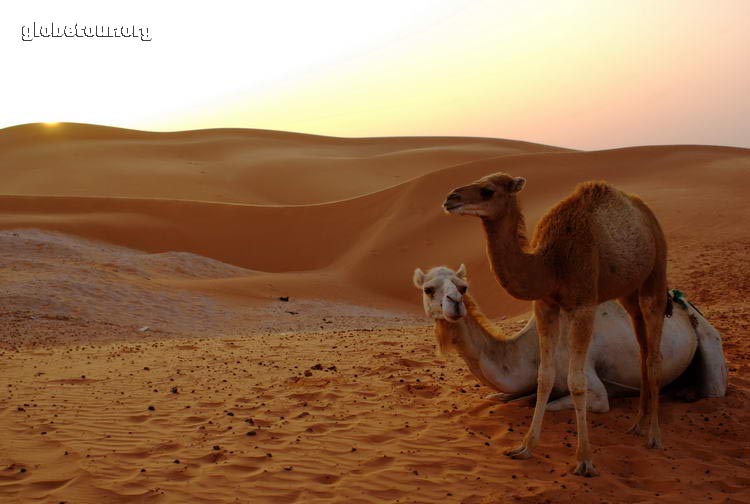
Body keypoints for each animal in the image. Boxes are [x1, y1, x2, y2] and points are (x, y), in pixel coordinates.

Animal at [414, 264, 724, 410]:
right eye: (429, 289)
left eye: (463, 287)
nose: (455, 303)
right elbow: (502, 397)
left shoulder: (593, 389)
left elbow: (539, 403)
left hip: (709, 338)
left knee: (713, 391)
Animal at [444, 174, 668, 476]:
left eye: (487, 190)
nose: (451, 198)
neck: (550, 263)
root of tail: (646, 214)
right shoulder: (545, 305)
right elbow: (544, 376)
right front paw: (525, 447)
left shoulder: (583, 305)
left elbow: (576, 381)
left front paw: (584, 460)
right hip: (628, 292)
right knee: (643, 346)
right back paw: (638, 425)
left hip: (656, 272)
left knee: (654, 355)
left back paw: (654, 436)